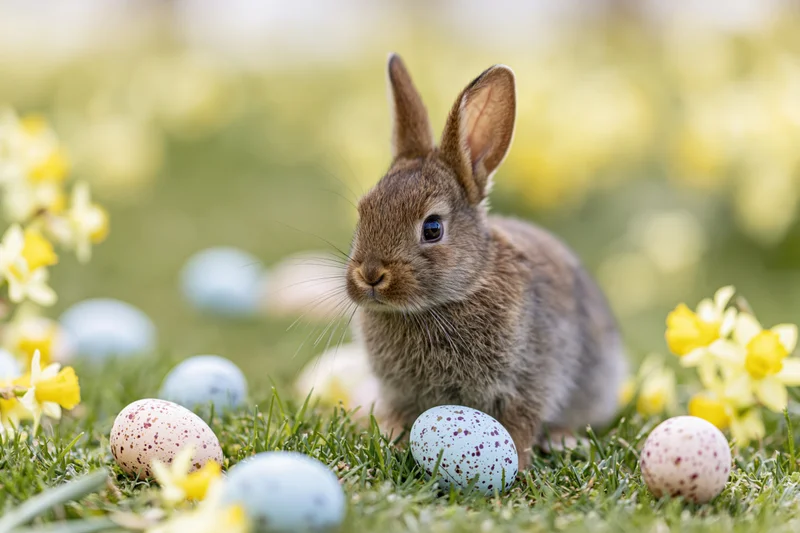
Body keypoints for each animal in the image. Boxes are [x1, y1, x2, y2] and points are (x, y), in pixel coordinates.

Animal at [344, 54, 627, 469]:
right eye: (363, 212)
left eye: (432, 228)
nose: (370, 275)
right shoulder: (398, 393)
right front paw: (390, 439)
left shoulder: (529, 381)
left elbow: (520, 424)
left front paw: (517, 463)